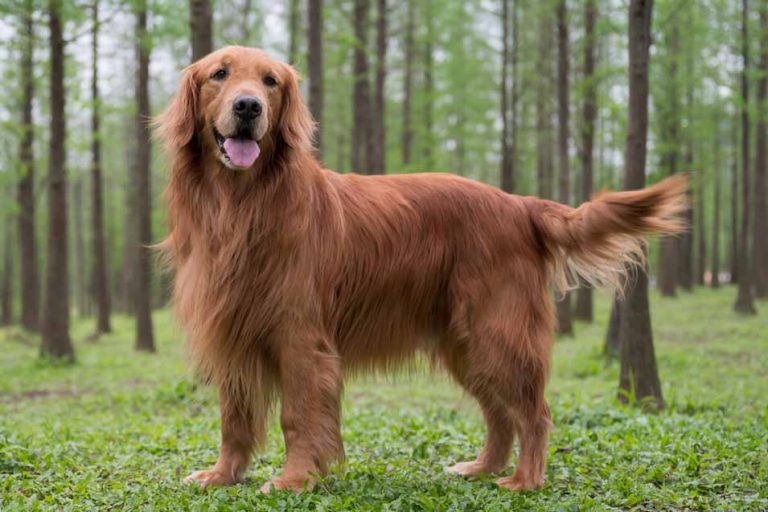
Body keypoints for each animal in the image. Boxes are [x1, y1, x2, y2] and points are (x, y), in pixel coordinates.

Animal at [154, 47, 684, 492]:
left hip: (496, 331)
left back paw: (523, 480)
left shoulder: (300, 338)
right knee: (500, 413)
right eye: (220, 74)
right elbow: (233, 419)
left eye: (271, 81)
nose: (248, 107)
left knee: (533, 411)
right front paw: (223, 474)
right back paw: (482, 467)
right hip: (464, 344)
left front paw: (294, 479)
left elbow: (298, 417)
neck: (242, 207)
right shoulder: (232, 332)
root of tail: (519, 203)